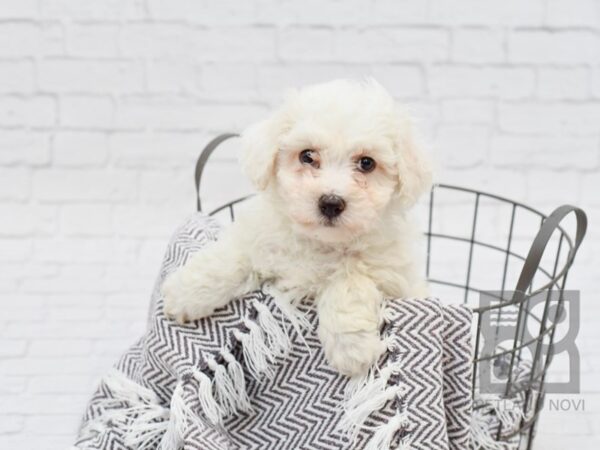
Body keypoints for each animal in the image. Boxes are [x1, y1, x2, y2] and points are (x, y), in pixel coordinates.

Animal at [159, 78, 432, 376]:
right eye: (307, 156)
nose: (331, 203)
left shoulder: (390, 271)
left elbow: (350, 277)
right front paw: (183, 294)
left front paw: (352, 348)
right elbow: (229, 258)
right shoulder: (258, 237)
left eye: (367, 163)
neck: (319, 242)